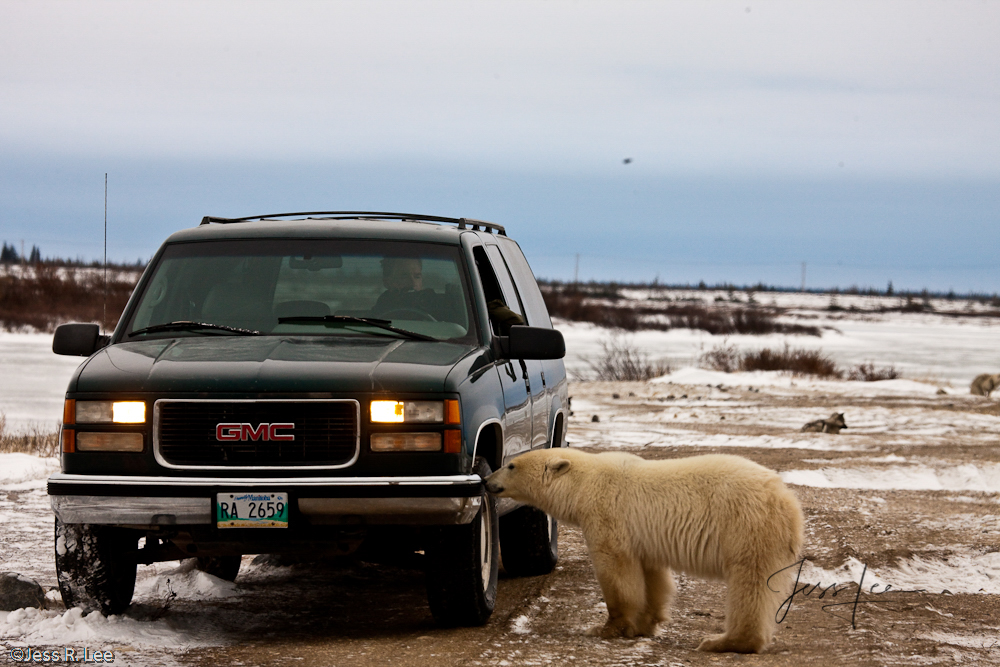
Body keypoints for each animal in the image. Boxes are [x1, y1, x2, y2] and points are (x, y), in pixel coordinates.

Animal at [484, 448, 804, 652]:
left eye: (511, 465)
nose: (487, 481)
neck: (585, 482)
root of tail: (788, 502)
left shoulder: (607, 513)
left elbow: (616, 569)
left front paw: (607, 628)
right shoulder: (644, 536)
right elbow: (652, 575)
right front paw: (646, 624)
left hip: (746, 525)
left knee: (750, 583)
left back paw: (723, 642)